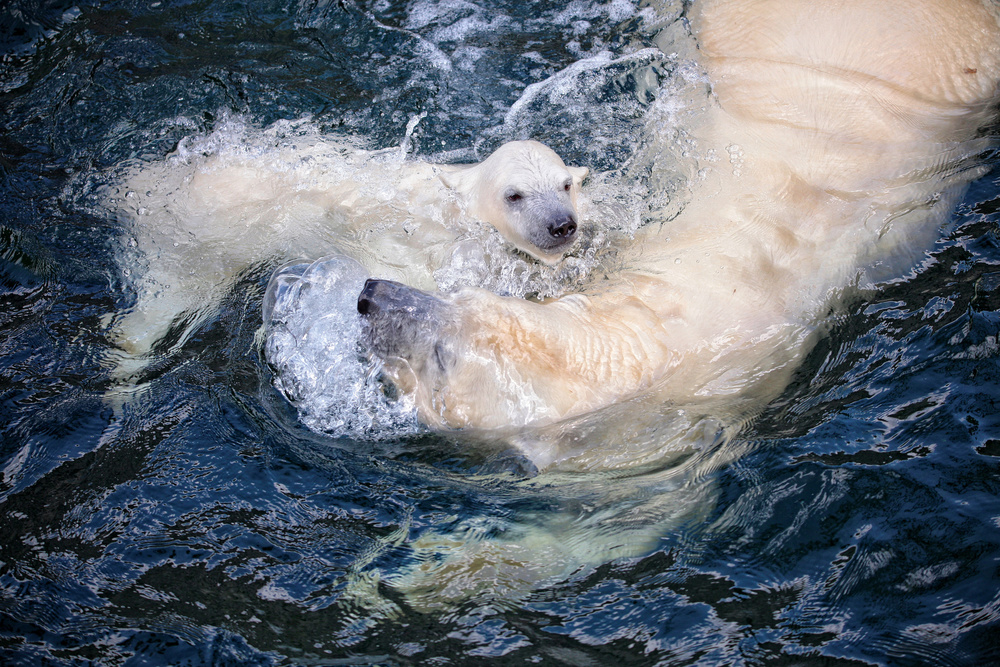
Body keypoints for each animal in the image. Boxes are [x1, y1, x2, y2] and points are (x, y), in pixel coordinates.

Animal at [105, 136, 584, 378]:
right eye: (514, 195)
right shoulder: (411, 247)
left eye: (565, 184)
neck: (451, 215)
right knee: (160, 304)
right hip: (195, 241)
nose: (562, 225)